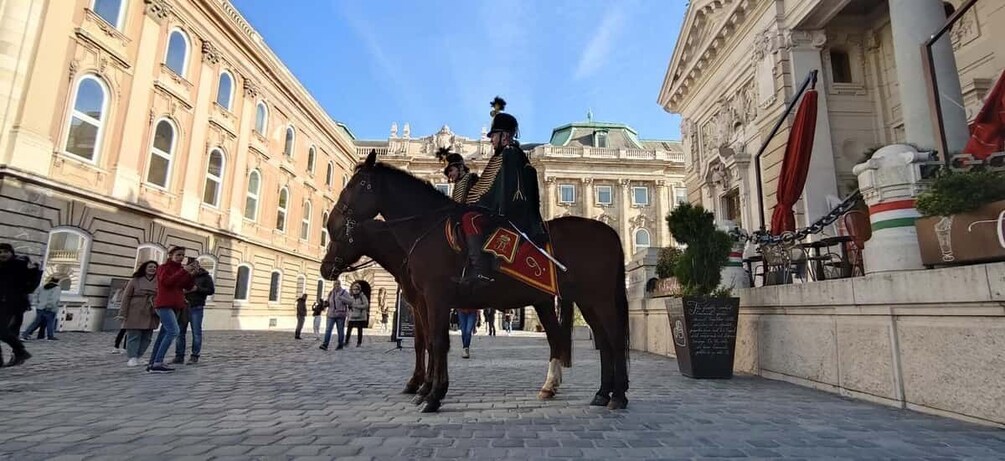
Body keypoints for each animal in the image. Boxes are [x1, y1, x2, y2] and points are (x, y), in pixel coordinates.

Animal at [321, 217, 574, 401]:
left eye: (341, 238)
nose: (325, 268)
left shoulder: (426, 302)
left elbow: (430, 342)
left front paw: (424, 386)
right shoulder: (419, 304)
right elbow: (423, 342)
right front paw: (422, 384)